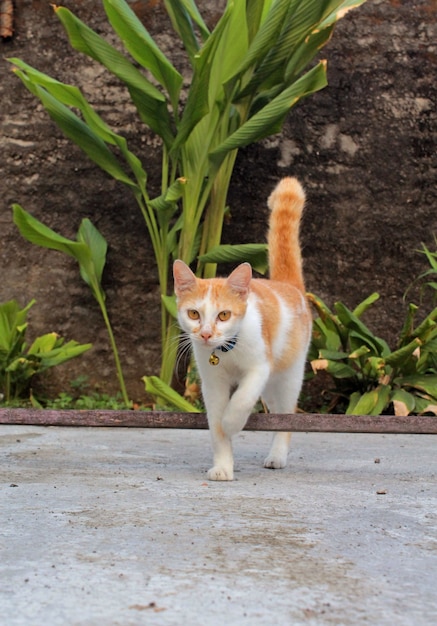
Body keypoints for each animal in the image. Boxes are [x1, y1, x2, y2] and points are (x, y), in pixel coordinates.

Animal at [172, 178, 312, 480]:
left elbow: (242, 399)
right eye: (194, 314)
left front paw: (232, 422)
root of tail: (287, 285)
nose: (206, 333)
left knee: (286, 415)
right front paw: (223, 466)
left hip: (287, 375)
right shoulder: (212, 383)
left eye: (224, 315)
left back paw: (277, 456)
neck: (225, 352)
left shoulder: (260, 366)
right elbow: (216, 427)